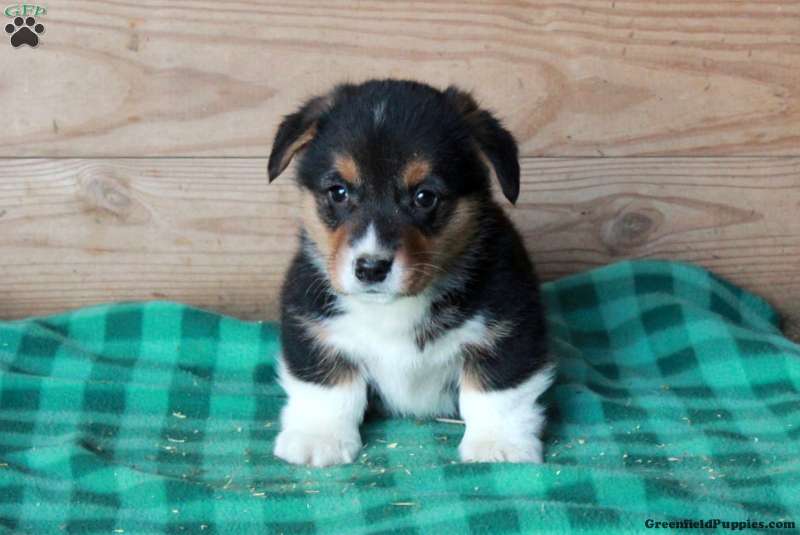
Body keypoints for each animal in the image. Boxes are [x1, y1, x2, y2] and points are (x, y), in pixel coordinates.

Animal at [267, 79, 553, 467]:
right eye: (338, 192)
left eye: (424, 197)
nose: (371, 268)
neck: (393, 308)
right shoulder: (311, 325)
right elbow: (327, 387)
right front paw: (318, 438)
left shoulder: (510, 327)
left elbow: (496, 390)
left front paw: (499, 445)